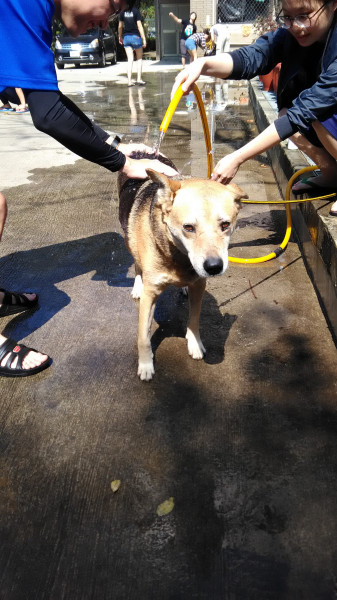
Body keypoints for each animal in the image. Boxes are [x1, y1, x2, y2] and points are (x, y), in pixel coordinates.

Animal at [118, 155, 247, 380]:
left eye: (225, 225)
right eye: (188, 228)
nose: (214, 267)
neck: (178, 256)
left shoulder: (199, 286)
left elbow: (194, 320)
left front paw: (194, 343)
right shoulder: (151, 294)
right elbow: (143, 336)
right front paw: (145, 364)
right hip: (129, 239)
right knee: (136, 264)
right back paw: (137, 285)